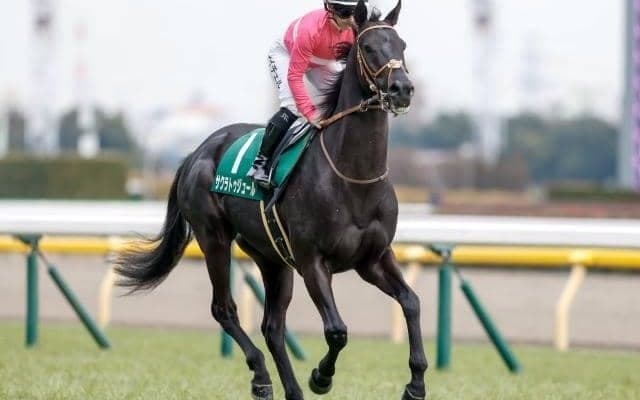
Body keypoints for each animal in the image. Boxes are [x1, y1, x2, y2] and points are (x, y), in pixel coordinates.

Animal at [115, 1, 428, 399]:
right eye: (369, 48)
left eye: (402, 45)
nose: (403, 88)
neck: (353, 179)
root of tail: (196, 152)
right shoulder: (313, 261)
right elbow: (337, 330)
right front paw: (321, 377)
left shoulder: (373, 258)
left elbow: (411, 302)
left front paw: (415, 383)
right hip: (214, 238)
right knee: (224, 309)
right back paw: (262, 377)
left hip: (272, 257)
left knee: (273, 327)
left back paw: (290, 389)